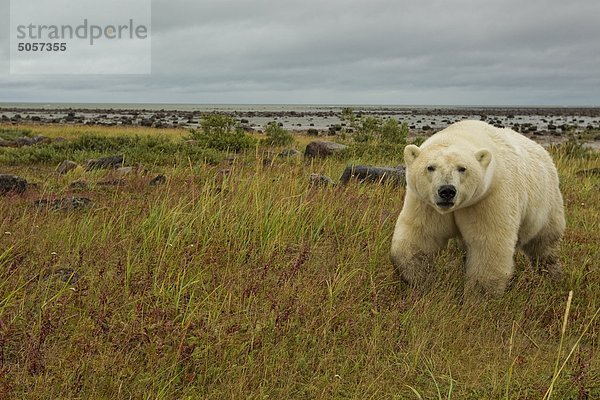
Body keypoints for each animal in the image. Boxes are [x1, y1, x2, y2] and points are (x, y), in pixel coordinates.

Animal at [392, 120, 564, 296]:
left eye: (462, 168)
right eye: (430, 167)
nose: (447, 191)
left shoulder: (489, 197)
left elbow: (488, 244)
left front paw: (479, 294)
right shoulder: (426, 203)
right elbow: (420, 236)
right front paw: (420, 279)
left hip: (546, 204)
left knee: (544, 243)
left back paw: (551, 275)